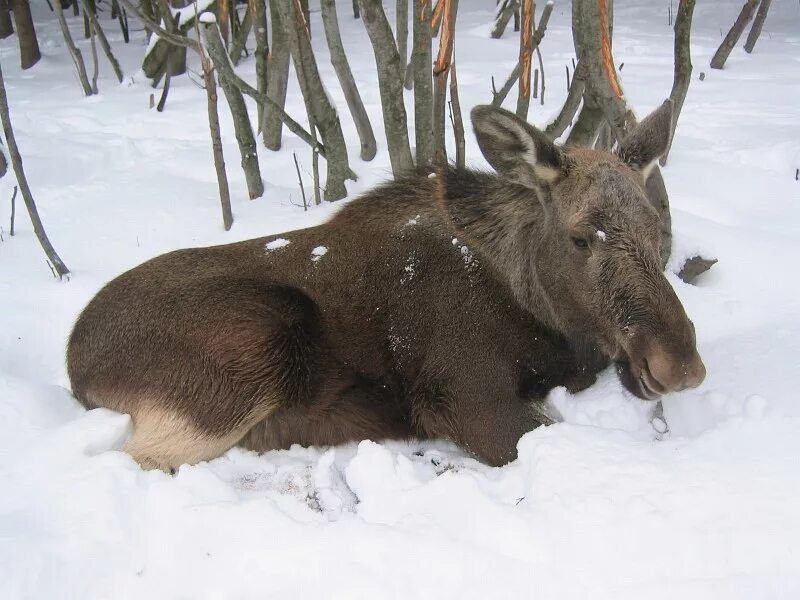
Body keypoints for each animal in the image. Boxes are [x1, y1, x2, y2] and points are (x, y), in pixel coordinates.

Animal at [69, 103, 708, 472]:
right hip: (249, 350)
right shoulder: (461, 398)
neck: (543, 313)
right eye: (580, 238)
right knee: (138, 458)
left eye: (657, 229)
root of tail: (75, 363)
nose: (679, 364)